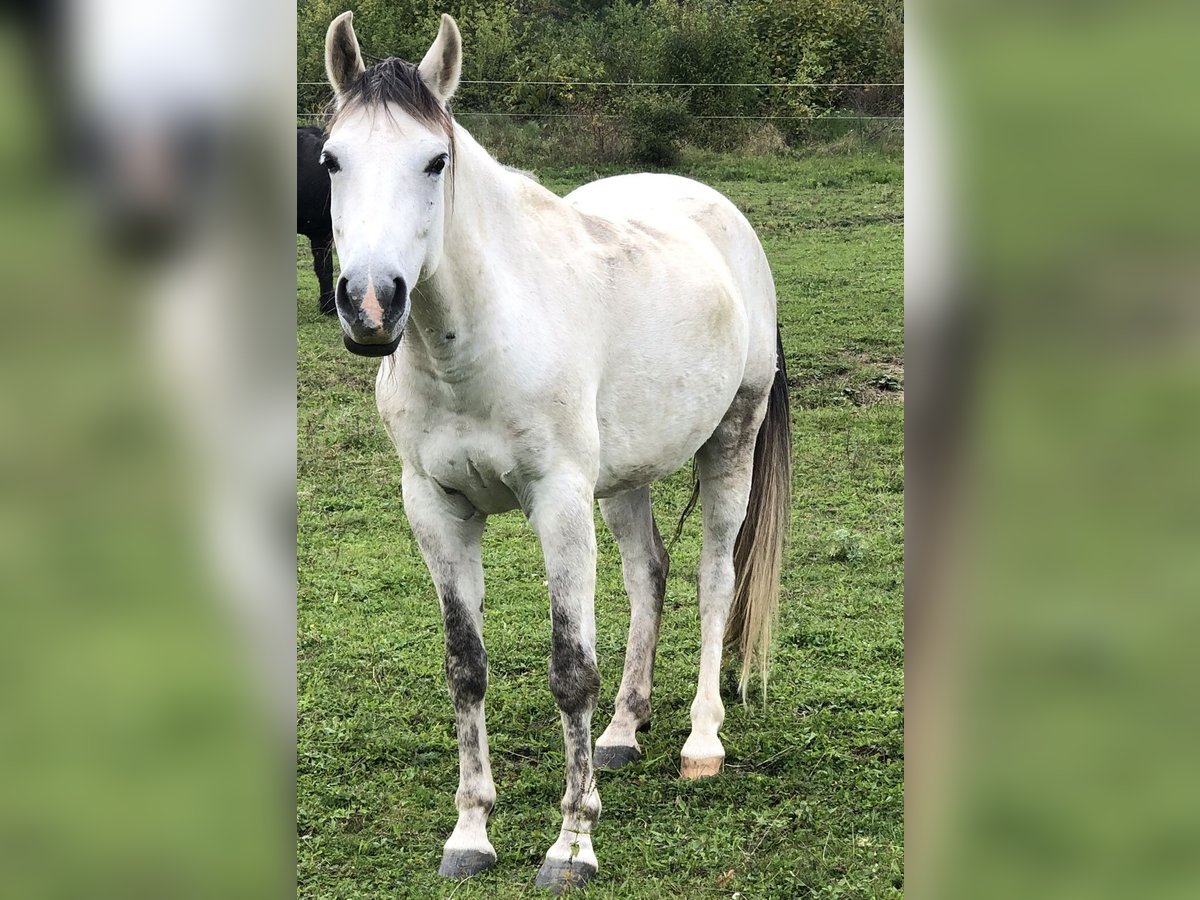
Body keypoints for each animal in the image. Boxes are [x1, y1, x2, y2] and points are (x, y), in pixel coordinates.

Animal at [319, 14, 792, 897]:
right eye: (331, 159)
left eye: (435, 161)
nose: (371, 303)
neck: (476, 345)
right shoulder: (434, 508)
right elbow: (466, 668)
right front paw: (471, 834)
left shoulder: (558, 502)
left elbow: (571, 670)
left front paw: (572, 845)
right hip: (624, 479)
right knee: (649, 575)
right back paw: (624, 730)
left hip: (731, 441)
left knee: (715, 578)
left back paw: (700, 742)